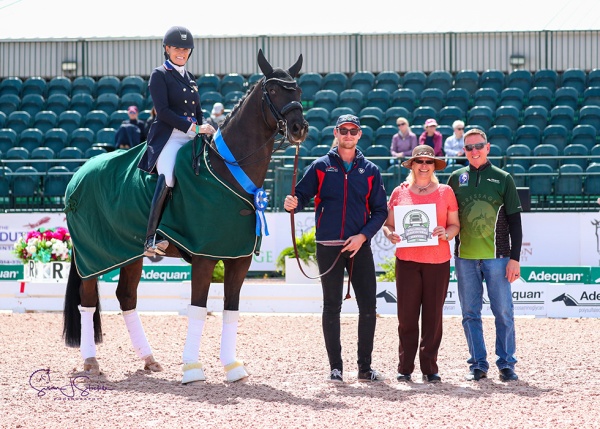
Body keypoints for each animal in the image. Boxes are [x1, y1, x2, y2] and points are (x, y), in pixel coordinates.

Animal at [62, 50, 308, 382]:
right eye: (272, 90)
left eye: (297, 89)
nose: (298, 128)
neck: (226, 169)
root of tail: (78, 174)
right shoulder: (204, 256)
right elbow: (198, 308)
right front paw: (192, 368)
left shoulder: (238, 258)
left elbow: (231, 309)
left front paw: (232, 367)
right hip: (93, 256)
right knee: (87, 301)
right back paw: (91, 362)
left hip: (129, 253)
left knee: (126, 297)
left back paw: (149, 359)